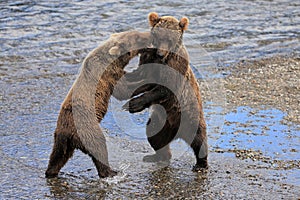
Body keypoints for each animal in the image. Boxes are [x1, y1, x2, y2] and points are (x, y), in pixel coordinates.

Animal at [45, 30, 151, 178]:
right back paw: (111, 171)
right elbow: (124, 90)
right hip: (87, 130)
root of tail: (68, 135)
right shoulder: (108, 76)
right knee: (99, 148)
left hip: (61, 139)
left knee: (57, 157)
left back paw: (50, 172)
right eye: (137, 38)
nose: (148, 34)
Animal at [120, 11, 207, 170]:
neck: (162, 60)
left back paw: (201, 164)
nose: (161, 53)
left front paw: (132, 104)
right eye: (159, 37)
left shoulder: (176, 65)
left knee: (199, 139)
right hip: (161, 122)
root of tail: (177, 133)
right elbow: (143, 78)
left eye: (170, 39)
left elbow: (165, 89)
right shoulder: (149, 60)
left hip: (190, 116)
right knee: (154, 135)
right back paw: (156, 156)